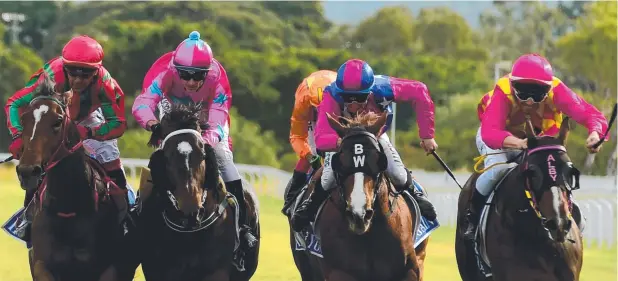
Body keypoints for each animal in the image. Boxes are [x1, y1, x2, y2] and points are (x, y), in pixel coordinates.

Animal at [14, 77, 127, 280]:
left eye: (57, 121)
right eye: (23, 119)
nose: (27, 171)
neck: (68, 207)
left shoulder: (111, 268)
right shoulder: (41, 264)